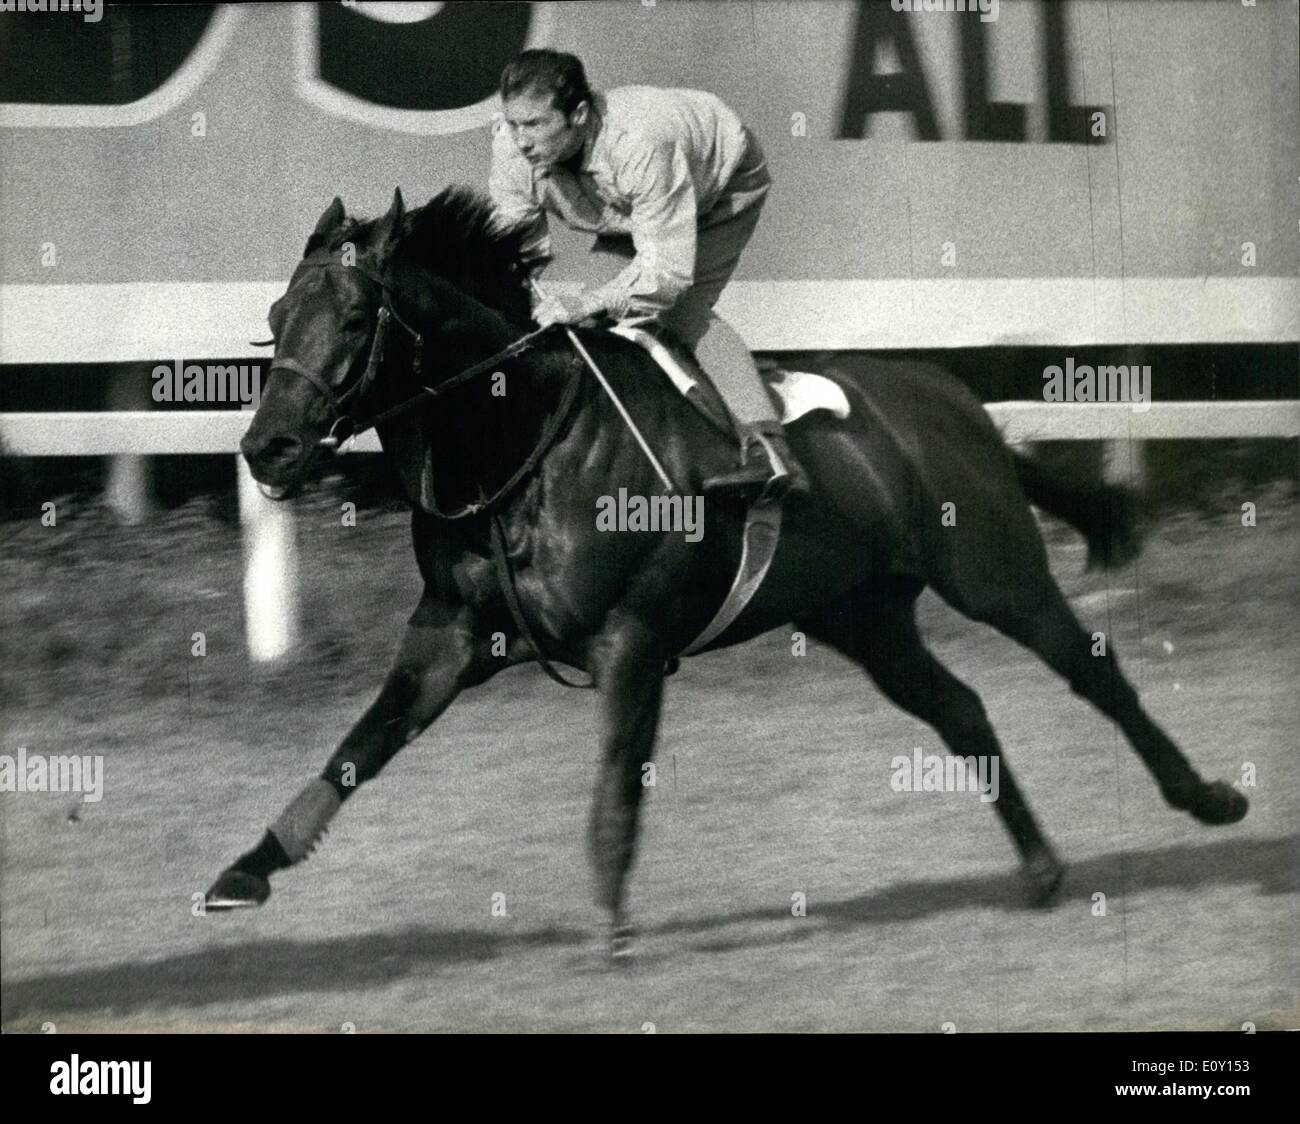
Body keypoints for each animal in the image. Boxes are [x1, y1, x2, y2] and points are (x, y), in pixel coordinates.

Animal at [208, 188, 1253, 951]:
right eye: (276, 315)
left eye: (353, 318)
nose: (267, 449)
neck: (523, 447)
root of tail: (957, 400)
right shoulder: (451, 635)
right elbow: (360, 747)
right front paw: (245, 870)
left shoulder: (631, 639)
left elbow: (615, 784)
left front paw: (611, 923)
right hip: (862, 616)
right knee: (960, 710)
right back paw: (1040, 868)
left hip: (993, 572)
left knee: (1093, 671)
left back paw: (1207, 797)